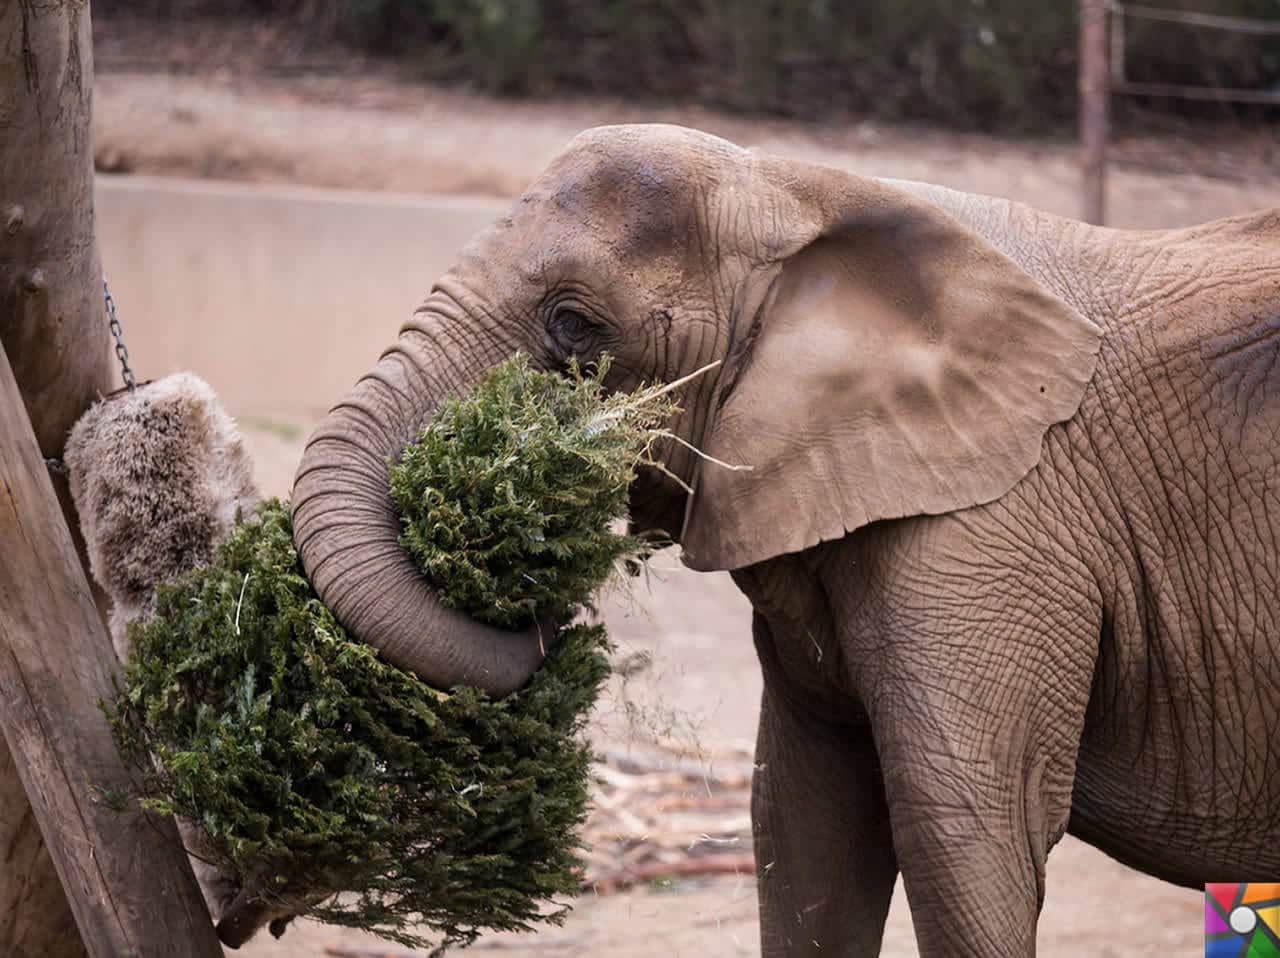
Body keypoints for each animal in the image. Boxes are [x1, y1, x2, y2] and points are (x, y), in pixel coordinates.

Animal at [293, 123, 1280, 952]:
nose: (554, 608)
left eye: (573, 326)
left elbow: (964, 835)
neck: (797, 190)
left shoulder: (995, 534)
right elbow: (806, 824)